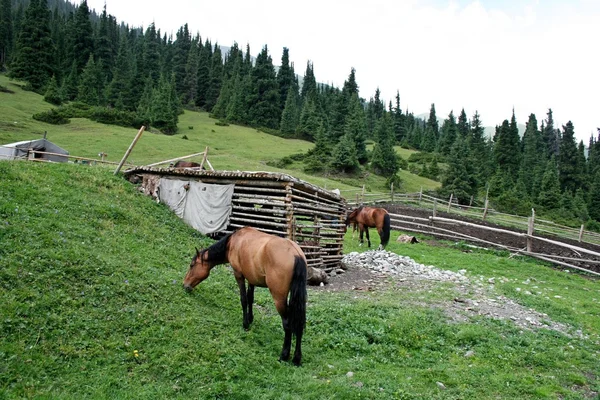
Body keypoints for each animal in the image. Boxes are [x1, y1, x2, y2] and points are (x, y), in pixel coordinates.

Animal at [183, 227, 308, 364]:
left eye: (192, 265)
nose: (185, 285)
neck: (232, 242)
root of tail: (296, 254)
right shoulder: (251, 279)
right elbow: (250, 298)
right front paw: (250, 318)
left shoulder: (239, 275)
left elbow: (243, 299)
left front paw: (245, 324)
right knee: (299, 323)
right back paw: (297, 358)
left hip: (279, 299)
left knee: (287, 323)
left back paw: (284, 355)